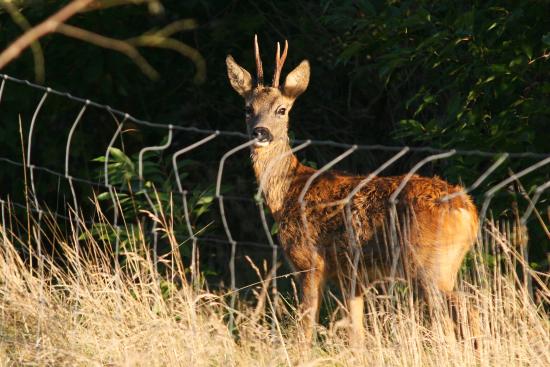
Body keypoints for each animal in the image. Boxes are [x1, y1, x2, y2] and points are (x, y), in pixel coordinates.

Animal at [226, 36, 480, 346]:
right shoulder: (353, 276)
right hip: (443, 265)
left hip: (429, 264)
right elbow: (356, 334)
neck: (287, 193)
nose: (260, 132)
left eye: (281, 109)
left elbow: (305, 328)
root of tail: (467, 210)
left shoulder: (309, 262)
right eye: (248, 109)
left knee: (462, 313)